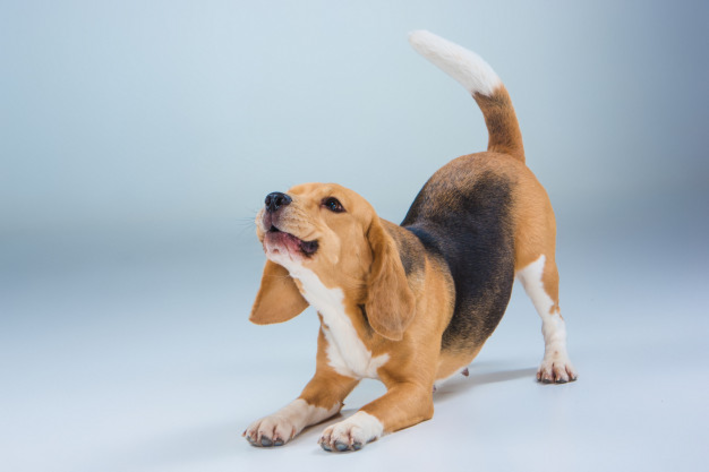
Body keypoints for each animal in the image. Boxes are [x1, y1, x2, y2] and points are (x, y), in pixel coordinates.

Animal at [242, 30, 576, 454]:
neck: (341, 306)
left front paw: (350, 428)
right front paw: (275, 419)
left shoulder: (413, 390)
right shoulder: (327, 383)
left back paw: (555, 362)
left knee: (554, 319)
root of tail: (499, 155)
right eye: (289, 190)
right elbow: (298, 403)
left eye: (333, 204)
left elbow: (376, 406)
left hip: (538, 266)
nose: (272, 198)